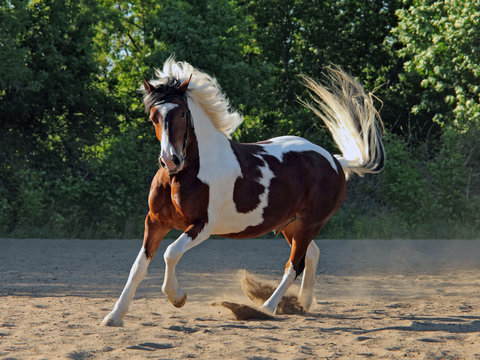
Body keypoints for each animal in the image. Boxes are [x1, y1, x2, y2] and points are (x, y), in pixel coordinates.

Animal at [102, 58, 386, 326]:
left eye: (182, 113)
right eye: (154, 116)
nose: (170, 160)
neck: (184, 175)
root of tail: (335, 161)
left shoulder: (202, 226)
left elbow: (170, 253)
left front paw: (178, 297)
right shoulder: (155, 222)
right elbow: (138, 267)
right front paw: (114, 316)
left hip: (309, 223)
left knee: (294, 265)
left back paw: (267, 308)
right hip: (291, 224)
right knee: (312, 255)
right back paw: (303, 304)